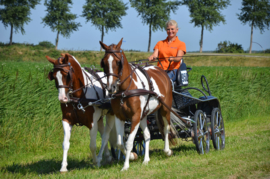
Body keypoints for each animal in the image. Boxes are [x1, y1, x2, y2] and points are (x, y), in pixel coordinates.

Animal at [98, 38, 176, 171]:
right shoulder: (120, 117)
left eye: (118, 62)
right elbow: (120, 142)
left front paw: (125, 166)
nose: (110, 87)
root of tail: (161, 71)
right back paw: (146, 159)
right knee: (147, 134)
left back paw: (167, 151)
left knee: (166, 129)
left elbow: (129, 142)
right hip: (143, 115)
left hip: (165, 110)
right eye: (103, 63)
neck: (125, 90)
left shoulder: (135, 117)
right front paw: (132, 156)